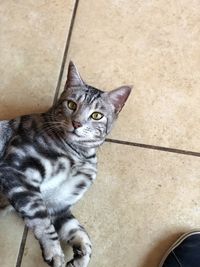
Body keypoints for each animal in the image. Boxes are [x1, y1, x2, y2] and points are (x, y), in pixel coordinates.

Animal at [0, 61, 131, 266]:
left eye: (96, 115)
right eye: (71, 104)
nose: (77, 123)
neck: (80, 154)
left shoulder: (59, 205)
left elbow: (79, 232)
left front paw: (81, 257)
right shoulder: (16, 169)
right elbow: (40, 217)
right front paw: (54, 251)